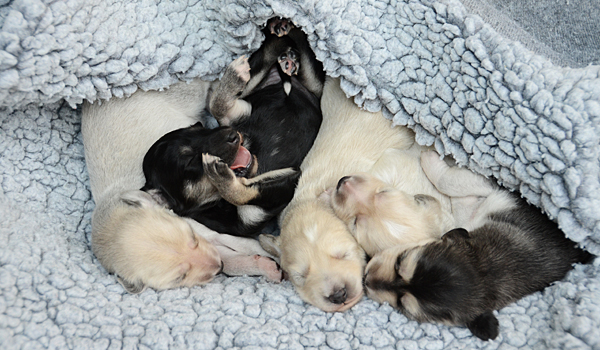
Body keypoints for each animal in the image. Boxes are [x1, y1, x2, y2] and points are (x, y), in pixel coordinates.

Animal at [80, 78, 284, 292]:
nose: (217, 266)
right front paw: (264, 266)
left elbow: (248, 245)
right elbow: (231, 261)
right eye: (179, 278)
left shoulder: (208, 231)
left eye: (192, 236)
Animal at [142, 19, 324, 238]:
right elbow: (242, 195)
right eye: (190, 161)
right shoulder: (263, 204)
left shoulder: (239, 113)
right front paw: (221, 177)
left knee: (280, 47)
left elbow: (215, 105)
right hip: (312, 84)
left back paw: (280, 32)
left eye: (202, 129)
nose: (233, 135)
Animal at [360, 150, 596, 340]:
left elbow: (452, 184)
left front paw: (430, 161)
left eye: (402, 304)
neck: (488, 268)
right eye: (400, 262)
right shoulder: (504, 195)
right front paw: (432, 157)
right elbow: (456, 185)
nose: (366, 278)